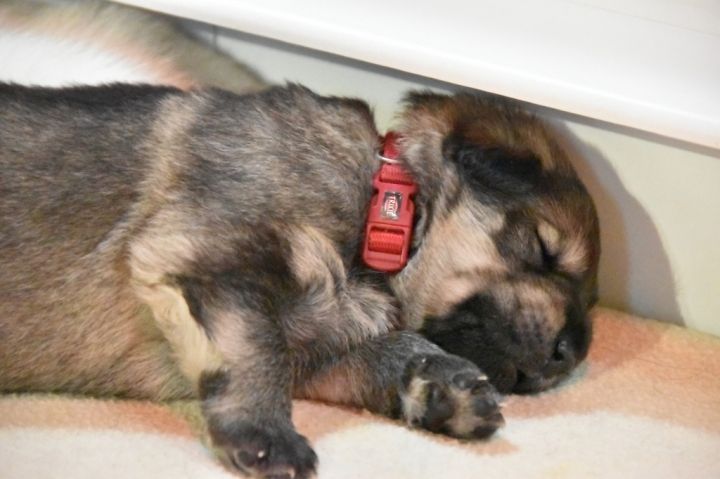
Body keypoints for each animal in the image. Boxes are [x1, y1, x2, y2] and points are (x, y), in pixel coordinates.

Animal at [0, 82, 599, 478]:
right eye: (544, 251)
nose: (570, 354)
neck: (382, 202)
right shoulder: (211, 253)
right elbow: (255, 347)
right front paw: (266, 436)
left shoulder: (322, 352)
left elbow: (385, 349)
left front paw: (442, 383)